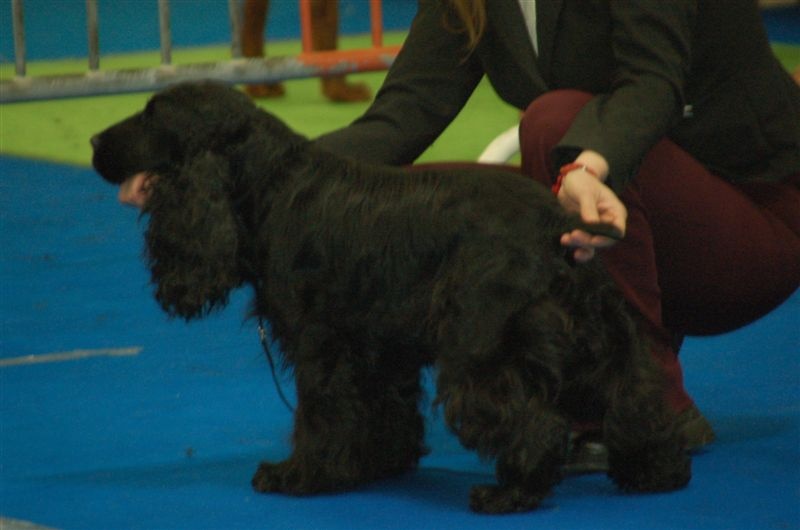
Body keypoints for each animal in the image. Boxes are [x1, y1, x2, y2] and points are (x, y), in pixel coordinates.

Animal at [91, 81, 690, 514]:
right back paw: (655, 471)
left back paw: (508, 494)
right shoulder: (376, 345)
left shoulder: (320, 340)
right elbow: (380, 409)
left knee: (534, 420)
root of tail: (555, 221)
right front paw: (376, 463)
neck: (269, 185)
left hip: (479, 345)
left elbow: (318, 413)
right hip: (593, 329)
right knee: (632, 394)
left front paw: (298, 475)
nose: (94, 143)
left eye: (151, 115)